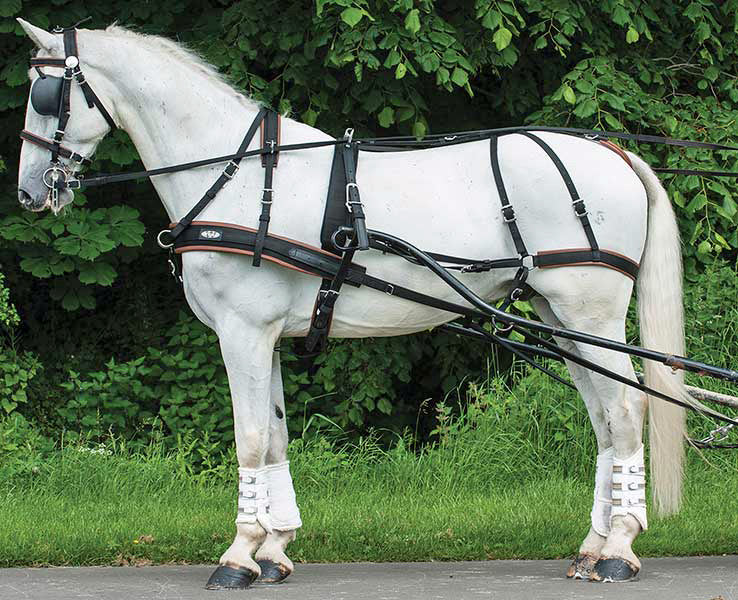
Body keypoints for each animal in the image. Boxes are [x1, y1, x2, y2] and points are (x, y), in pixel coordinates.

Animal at [16, 19, 690, 587]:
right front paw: (275, 549)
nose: (27, 193)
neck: (237, 175)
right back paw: (593, 548)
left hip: (591, 313)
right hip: (561, 319)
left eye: (46, 96)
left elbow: (250, 439)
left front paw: (239, 556)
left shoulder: (241, 331)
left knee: (626, 410)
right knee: (604, 418)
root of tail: (614, 152)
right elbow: (277, 436)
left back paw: (620, 549)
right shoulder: (268, 336)